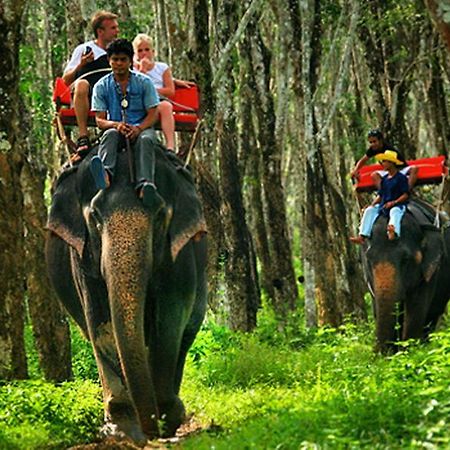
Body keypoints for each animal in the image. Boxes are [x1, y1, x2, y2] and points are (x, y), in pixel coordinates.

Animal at [45, 145, 207, 442]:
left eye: (160, 216)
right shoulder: (82, 256)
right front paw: (122, 430)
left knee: (186, 332)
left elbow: (170, 316)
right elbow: (100, 322)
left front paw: (167, 419)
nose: (151, 432)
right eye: (95, 217)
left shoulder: (179, 253)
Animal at [358, 199, 450, 354]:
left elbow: (416, 307)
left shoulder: (430, 271)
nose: (376, 353)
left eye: (406, 259)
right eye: (369, 260)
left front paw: (409, 351)